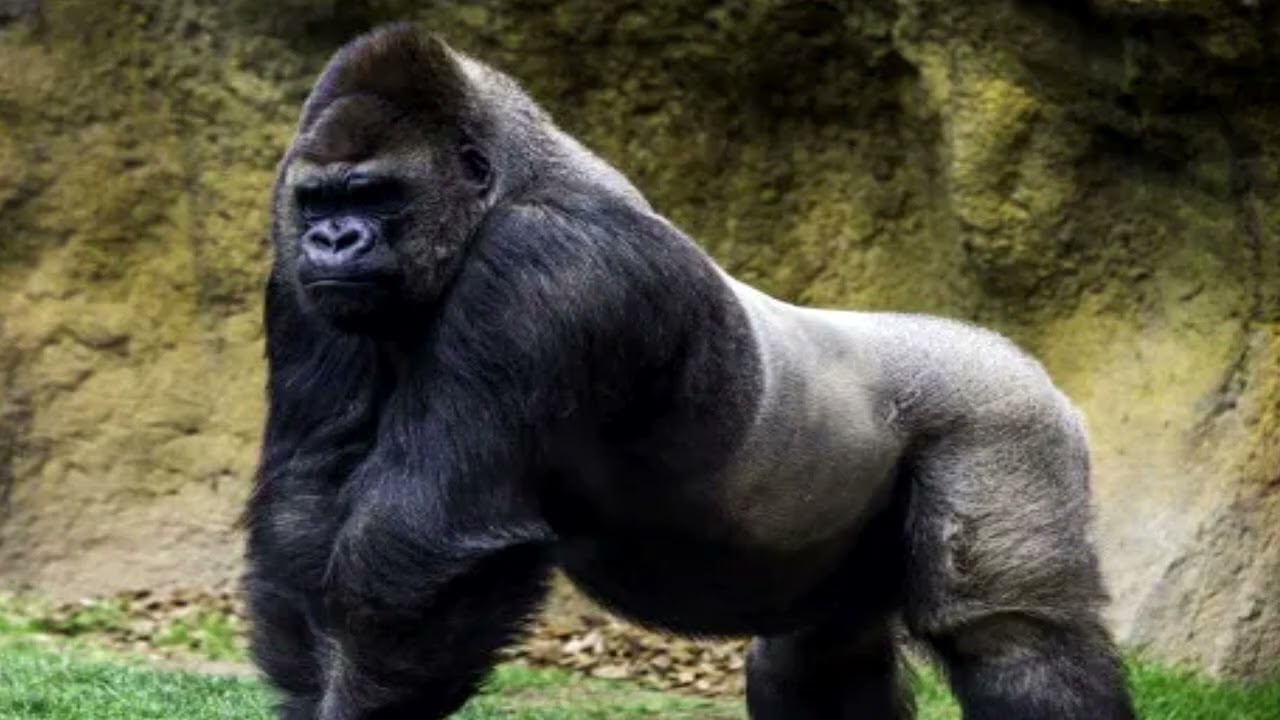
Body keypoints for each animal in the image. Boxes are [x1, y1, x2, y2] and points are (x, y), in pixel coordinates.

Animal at [242, 23, 1136, 720]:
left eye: (377, 193)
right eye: (320, 202)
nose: (333, 240)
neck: (507, 178)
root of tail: (1016, 355)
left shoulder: (547, 268)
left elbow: (425, 538)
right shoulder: (297, 281)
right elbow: (306, 507)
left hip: (1006, 420)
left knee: (1012, 637)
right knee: (815, 654)